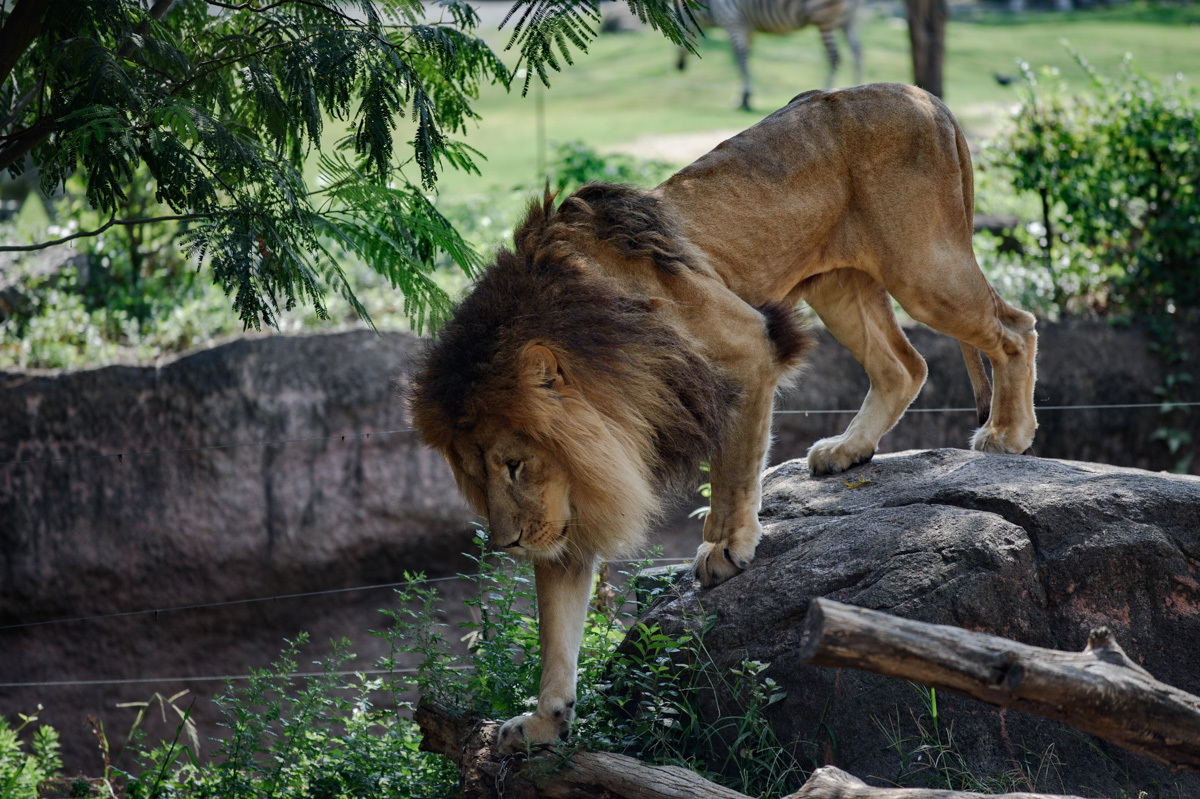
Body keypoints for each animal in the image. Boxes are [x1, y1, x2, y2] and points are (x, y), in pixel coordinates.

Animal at [408, 82, 1036, 753]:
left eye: (515, 465)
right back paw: (847, 450)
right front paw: (543, 721)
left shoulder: (746, 347)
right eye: (478, 477)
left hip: (923, 267)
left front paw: (726, 547)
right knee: (904, 366)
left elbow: (734, 467)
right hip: (838, 280)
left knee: (1014, 327)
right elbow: (558, 624)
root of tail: (925, 97)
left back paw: (1008, 434)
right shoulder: (577, 490)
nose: (508, 541)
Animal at [676, 0, 864, 110]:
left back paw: (828, 89)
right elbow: (747, 58)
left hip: (824, 18)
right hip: (849, 20)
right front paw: (743, 98)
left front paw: (744, 99)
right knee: (858, 53)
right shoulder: (747, 28)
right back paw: (855, 86)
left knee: (834, 57)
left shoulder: (734, 23)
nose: (679, 66)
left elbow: (741, 61)